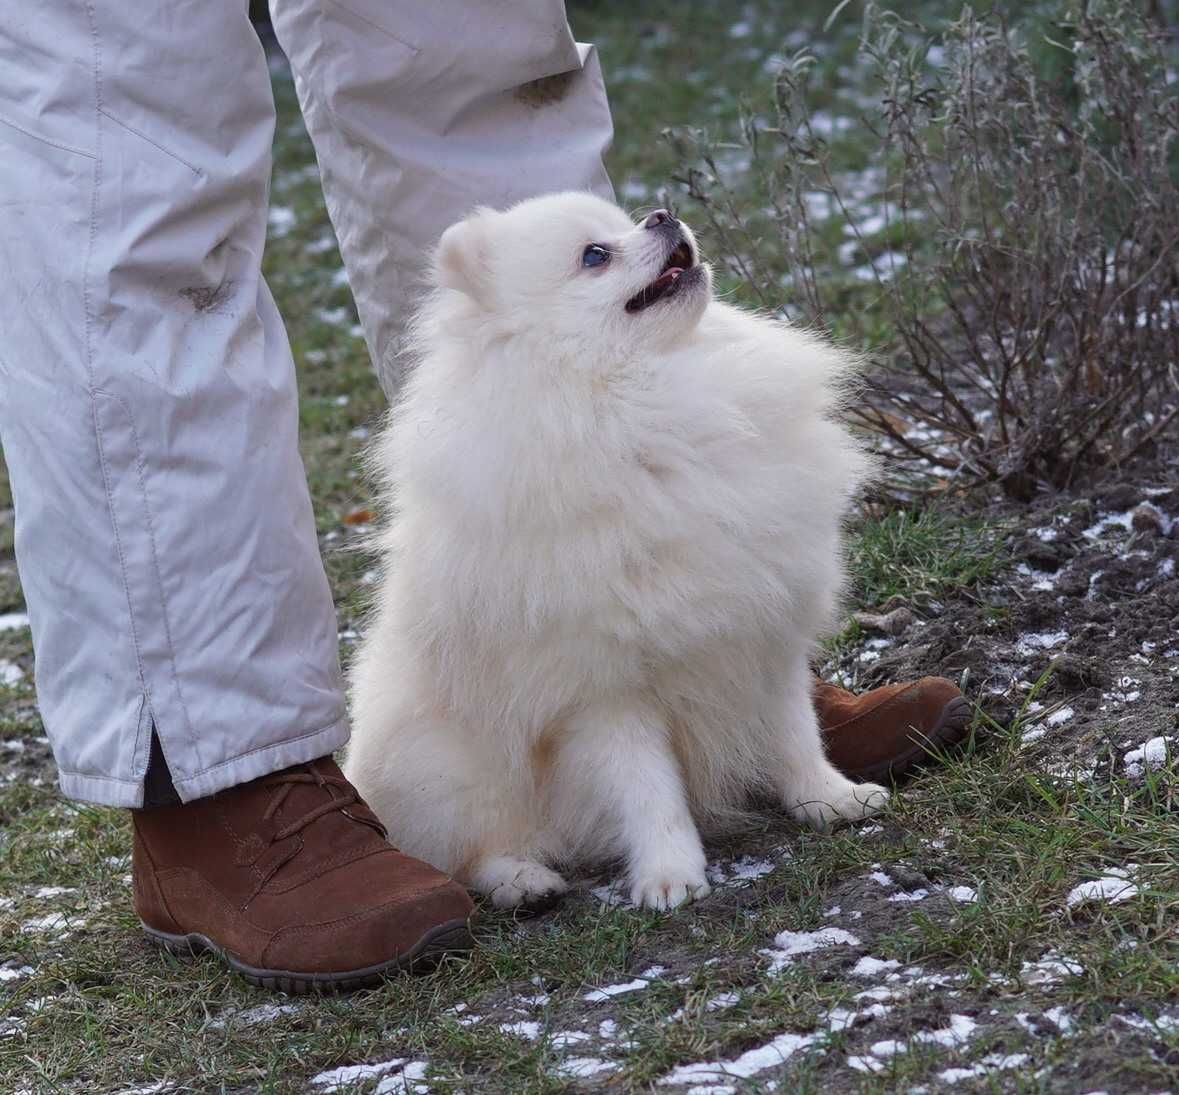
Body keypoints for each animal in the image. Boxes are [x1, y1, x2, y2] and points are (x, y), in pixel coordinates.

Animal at [344, 192, 886, 909]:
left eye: (626, 220)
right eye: (593, 256)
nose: (662, 214)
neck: (636, 402)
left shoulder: (763, 628)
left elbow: (794, 732)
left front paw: (828, 798)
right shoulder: (600, 688)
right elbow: (648, 789)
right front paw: (670, 875)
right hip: (447, 768)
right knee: (464, 853)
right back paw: (523, 880)